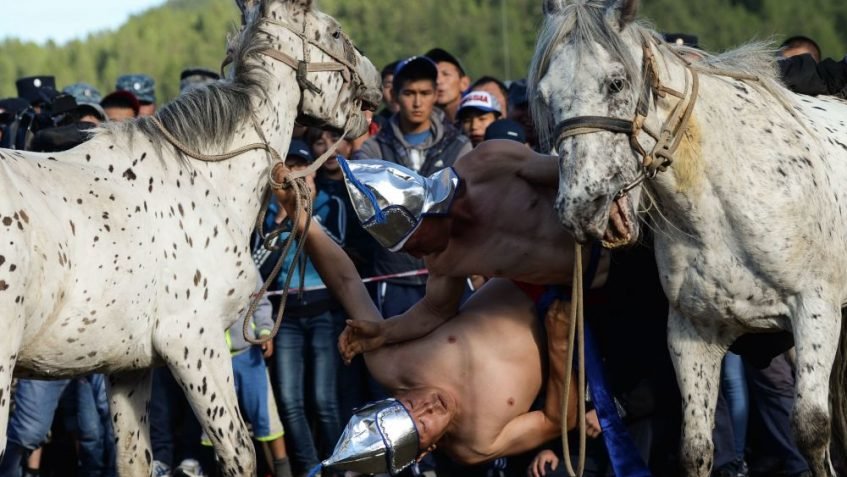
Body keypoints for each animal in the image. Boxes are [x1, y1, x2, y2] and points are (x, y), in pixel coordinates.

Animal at [0, 1, 380, 474]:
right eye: (334, 33)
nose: (375, 79)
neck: (203, 175)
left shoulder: (129, 368)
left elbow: (134, 459)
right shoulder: (193, 343)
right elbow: (238, 451)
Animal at [528, 0, 847, 474]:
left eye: (616, 82)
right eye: (545, 94)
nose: (582, 207)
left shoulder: (815, 309)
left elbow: (810, 430)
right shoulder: (692, 333)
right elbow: (695, 448)